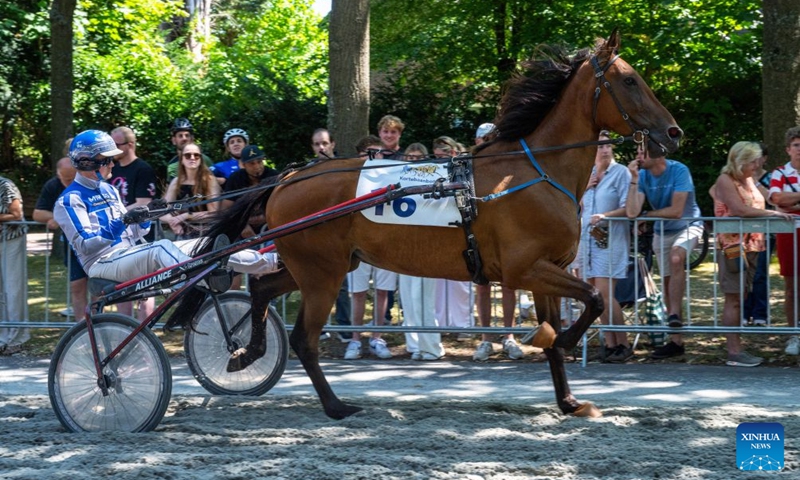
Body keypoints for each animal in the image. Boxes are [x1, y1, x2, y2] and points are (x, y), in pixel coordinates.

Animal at [171, 30, 682, 419]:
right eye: (630, 80)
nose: (673, 132)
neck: (534, 172)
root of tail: (288, 177)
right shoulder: (524, 269)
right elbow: (591, 300)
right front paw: (553, 340)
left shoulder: (546, 271)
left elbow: (569, 324)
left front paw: (571, 401)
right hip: (322, 273)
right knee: (303, 339)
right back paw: (336, 406)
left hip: (316, 265)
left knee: (261, 290)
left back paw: (247, 352)